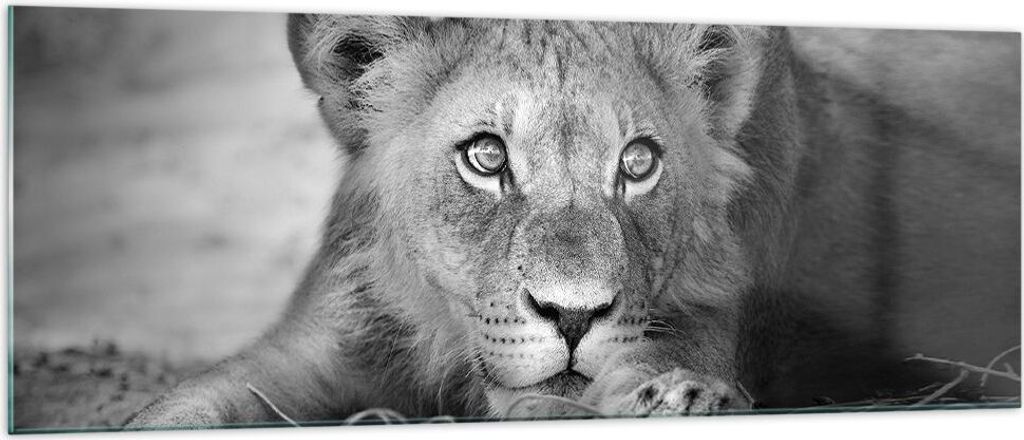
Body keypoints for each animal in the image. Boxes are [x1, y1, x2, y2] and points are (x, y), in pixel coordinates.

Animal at [126, 16, 1020, 428]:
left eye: (638, 162)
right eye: (486, 157)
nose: (573, 316)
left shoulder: (694, 323)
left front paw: (672, 398)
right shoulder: (319, 345)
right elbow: (179, 408)